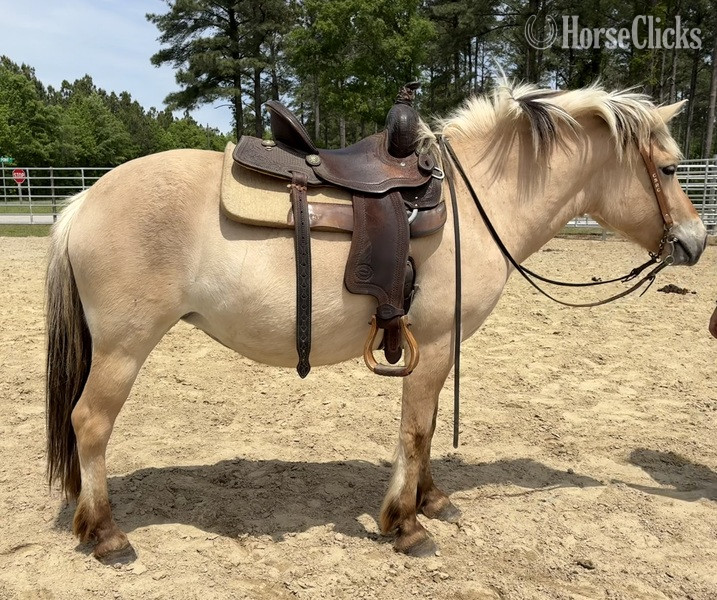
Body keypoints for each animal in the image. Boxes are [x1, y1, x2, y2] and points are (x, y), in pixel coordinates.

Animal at [45, 82, 707, 560]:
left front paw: (433, 500)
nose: (696, 242)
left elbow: (430, 425)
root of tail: (85, 199)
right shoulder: (432, 344)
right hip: (123, 348)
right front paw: (406, 525)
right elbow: (414, 431)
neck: (478, 204)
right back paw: (106, 534)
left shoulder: (440, 349)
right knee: (90, 422)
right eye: (671, 169)